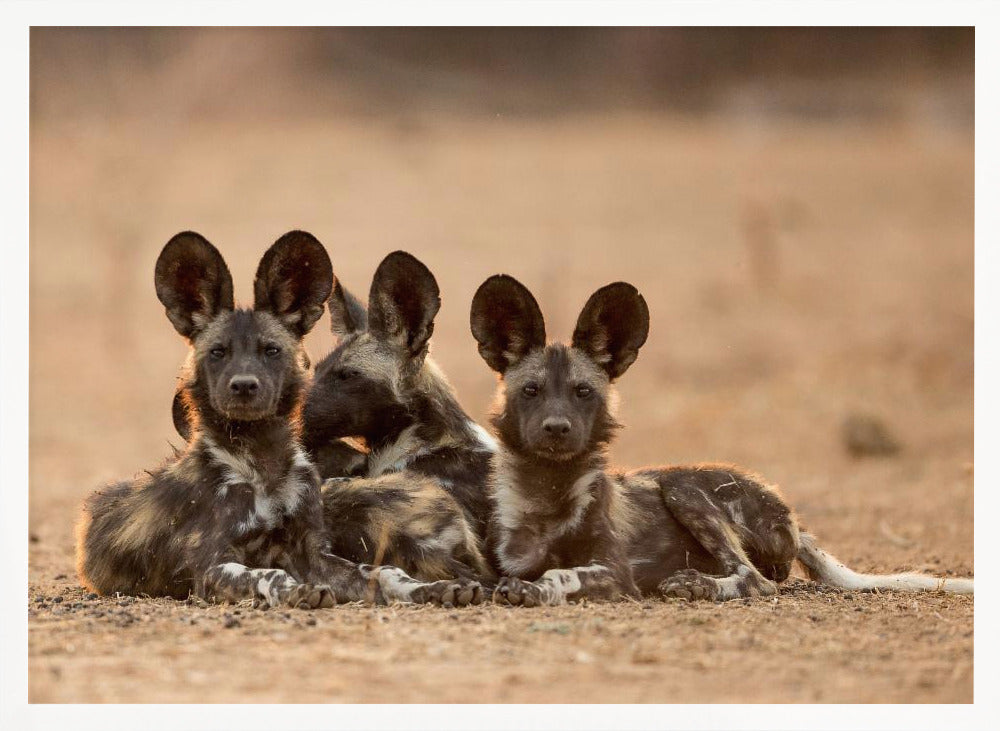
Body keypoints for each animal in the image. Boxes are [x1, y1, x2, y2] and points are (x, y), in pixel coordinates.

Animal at [76, 232, 482, 608]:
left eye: (271, 351)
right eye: (218, 352)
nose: (243, 386)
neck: (263, 461)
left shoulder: (315, 553)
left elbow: (382, 572)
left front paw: (433, 589)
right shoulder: (212, 567)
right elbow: (269, 573)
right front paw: (298, 590)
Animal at [470, 274, 976, 608]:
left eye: (583, 392)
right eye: (531, 391)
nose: (557, 428)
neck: (548, 494)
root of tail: (793, 518)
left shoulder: (614, 574)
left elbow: (561, 573)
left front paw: (535, 589)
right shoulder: (507, 558)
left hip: (682, 488)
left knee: (755, 580)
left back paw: (698, 585)